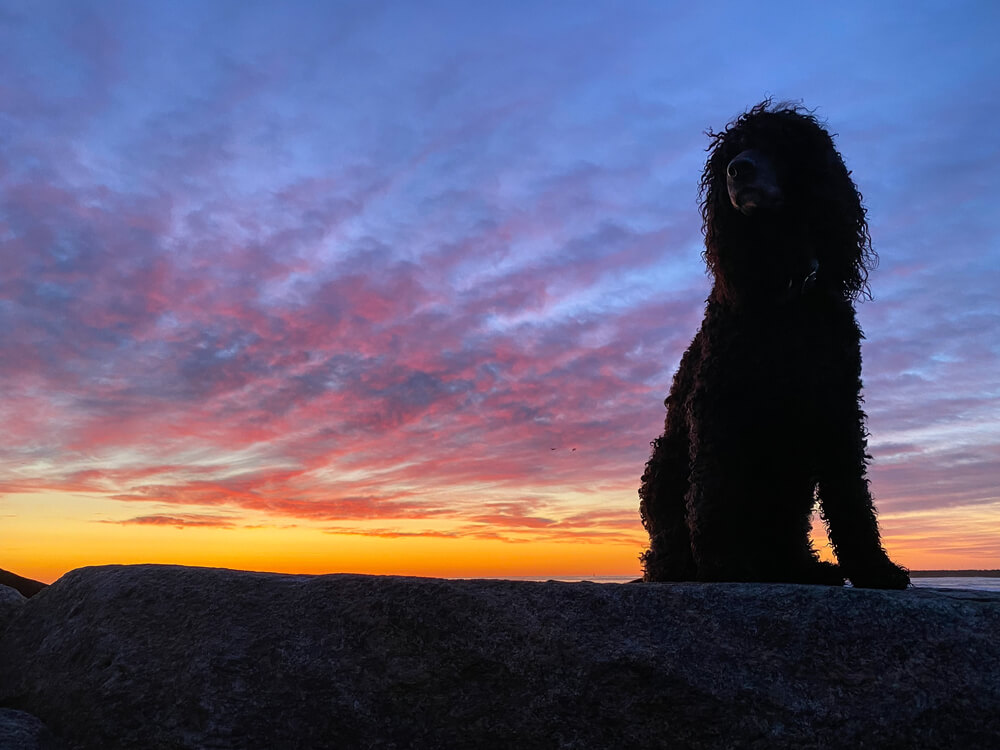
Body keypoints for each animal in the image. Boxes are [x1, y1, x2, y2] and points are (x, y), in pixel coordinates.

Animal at [640, 101, 916, 592]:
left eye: (781, 143)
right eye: (730, 151)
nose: (738, 169)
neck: (784, 294)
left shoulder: (836, 406)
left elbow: (851, 498)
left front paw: (873, 568)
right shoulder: (719, 404)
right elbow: (713, 490)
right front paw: (724, 566)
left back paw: (801, 568)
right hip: (663, 470)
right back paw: (688, 568)